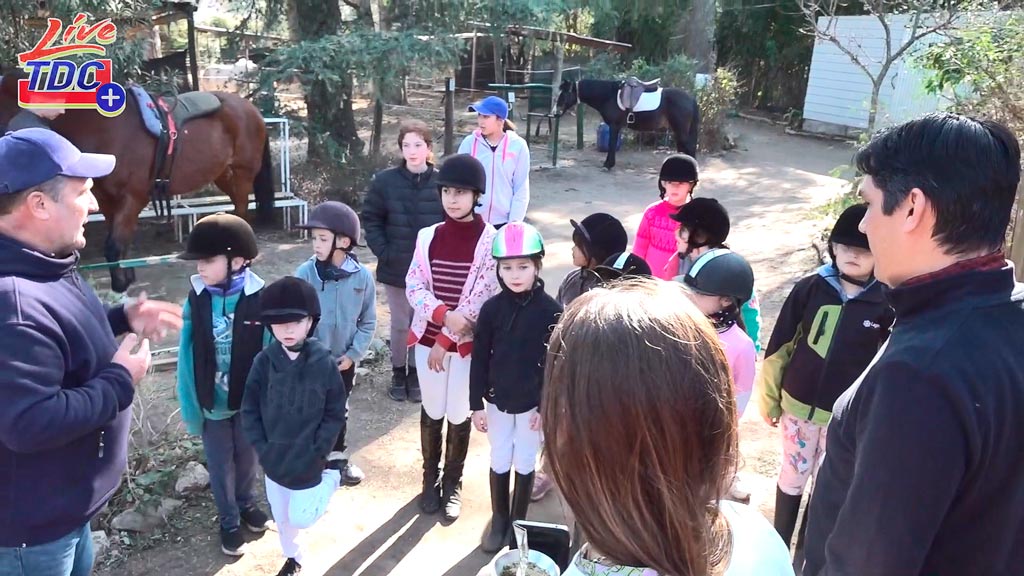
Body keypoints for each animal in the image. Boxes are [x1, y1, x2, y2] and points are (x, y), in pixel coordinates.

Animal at [0, 71, 276, 291]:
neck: (104, 126)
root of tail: (251, 109)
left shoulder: (133, 197)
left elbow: (114, 244)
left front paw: (119, 285)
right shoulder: (107, 199)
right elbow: (120, 242)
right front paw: (126, 276)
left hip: (243, 172)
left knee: (242, 208)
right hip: (222, 175)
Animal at [557, 78, 700, 169]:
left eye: (563, 94)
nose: (555, 112)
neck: (609, 96)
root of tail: (691, 98)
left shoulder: (614, 126)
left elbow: (612, 145)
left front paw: (608, 165)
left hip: (680, 131)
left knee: (689, 148)